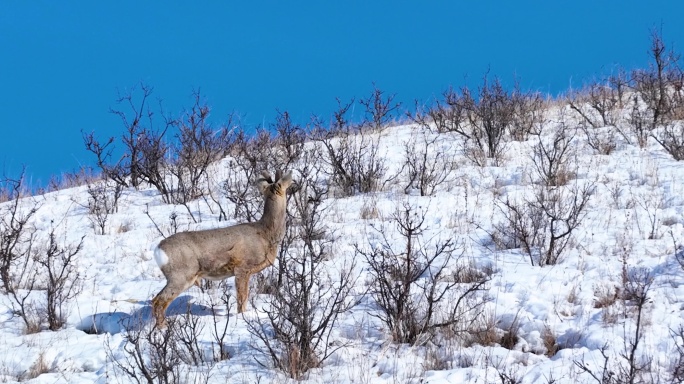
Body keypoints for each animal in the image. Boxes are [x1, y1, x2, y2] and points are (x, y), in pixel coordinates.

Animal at [151, 170, 292, 326]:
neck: (265, 234)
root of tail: (158, 250)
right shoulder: (242, 268)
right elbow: (242, 300)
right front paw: (242, 317)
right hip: (180, 276)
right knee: (158, 301)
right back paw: (164, 328)